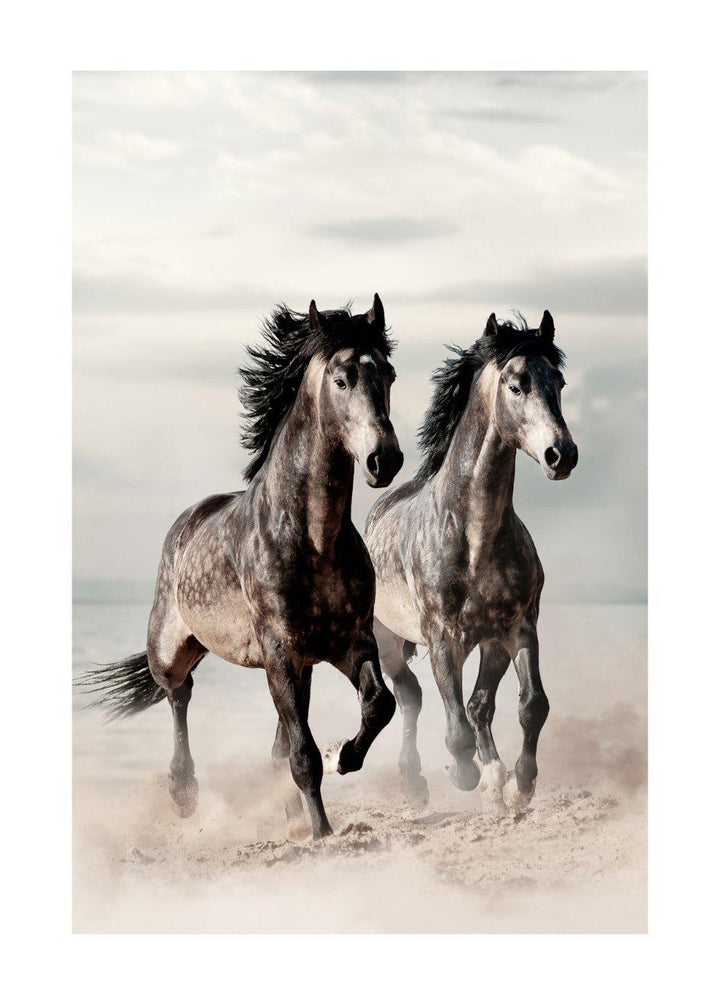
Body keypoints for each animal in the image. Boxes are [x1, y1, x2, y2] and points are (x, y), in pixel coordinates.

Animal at [80, 295, 403, 840]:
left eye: (390, 374)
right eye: (342, 379)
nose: (386, 460)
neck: (314, 540)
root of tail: (186, 522)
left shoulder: (349, 641)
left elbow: (379, 705)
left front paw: (346, 758)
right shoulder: (280, 652)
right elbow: (302, 755)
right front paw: (322, 831)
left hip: (300, 664)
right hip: (173, 648)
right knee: (179, 694)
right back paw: (183, 793)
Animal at [365, 310, 577, 811]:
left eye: (558, 382)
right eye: (516, 385)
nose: (561, 454)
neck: (474, 536)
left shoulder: (517, 628)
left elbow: (531, 705)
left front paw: (520, 784)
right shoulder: (444, 638)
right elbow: (455, 726)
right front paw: (465, 775)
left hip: (490, 642)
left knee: (480, 705)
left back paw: (495, 777)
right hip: (388, 640)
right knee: (410, 696)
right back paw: (416, 782)